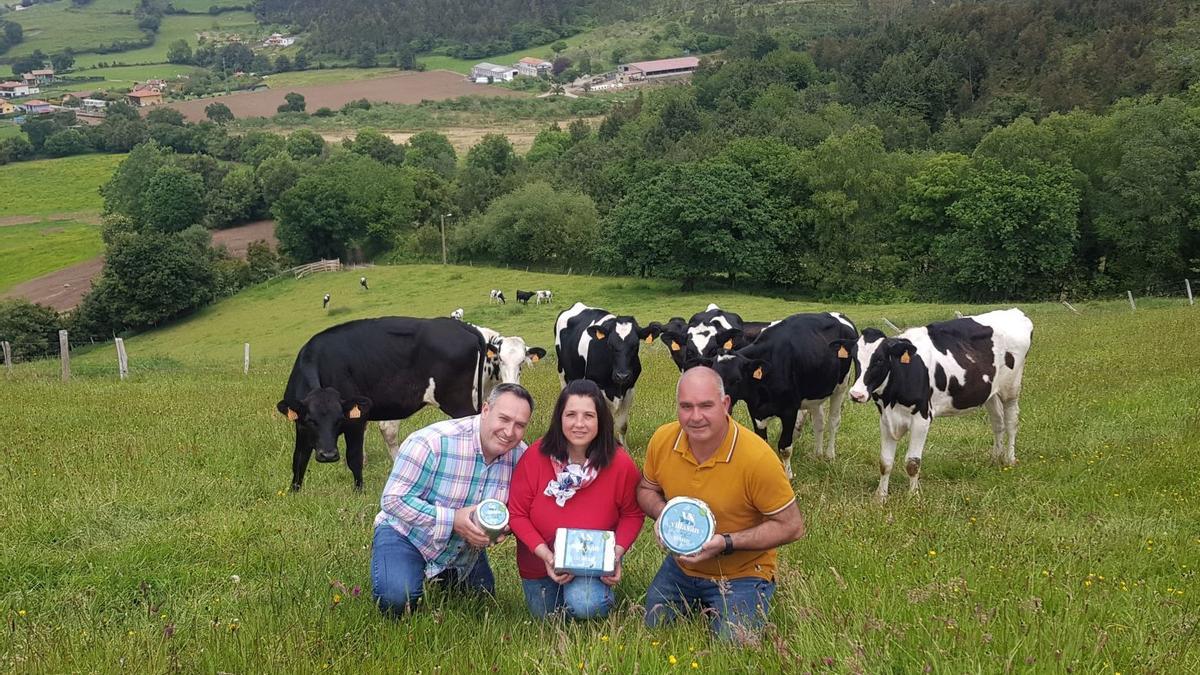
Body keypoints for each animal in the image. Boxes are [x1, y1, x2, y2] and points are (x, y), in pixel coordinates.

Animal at [276, 314, 487, 487]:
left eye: (339, 420)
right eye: (311, 420)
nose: (328, 455)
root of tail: (456, 325)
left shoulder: (356, 421)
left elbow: (354, 458)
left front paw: (358, 491)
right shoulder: (300, 426)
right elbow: (299, 459)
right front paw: (294, 491)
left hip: (458, 403)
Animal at [554, 299, 667, 441]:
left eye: (636, 345)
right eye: (610, 344)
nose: (622, 376)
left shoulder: (629, 390)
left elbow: (622, 426)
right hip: (563, 375)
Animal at [705, 312, 859, 478]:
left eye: (737, 379)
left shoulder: (789, 410)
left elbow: (785, 447)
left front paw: (788, 475)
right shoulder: (755, 409)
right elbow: (762, 441)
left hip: (841, 386)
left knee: (833, 421)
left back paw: (830, 455)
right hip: (815, 392)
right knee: (819, 421)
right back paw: (817, 454)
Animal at [849, 307, 1036, 502]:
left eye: (879, 360)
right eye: (854, 358)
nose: (856, 394)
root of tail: (1014, 312)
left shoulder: (922, 418)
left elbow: (912, 462)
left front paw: (913, 497)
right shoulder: (886, 419)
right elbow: (885, 462)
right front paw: (880, 497)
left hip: (1011, 388)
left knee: (1011, 422)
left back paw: (1010, 459)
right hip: (990, 391)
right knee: (998, 422)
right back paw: (994, 458)